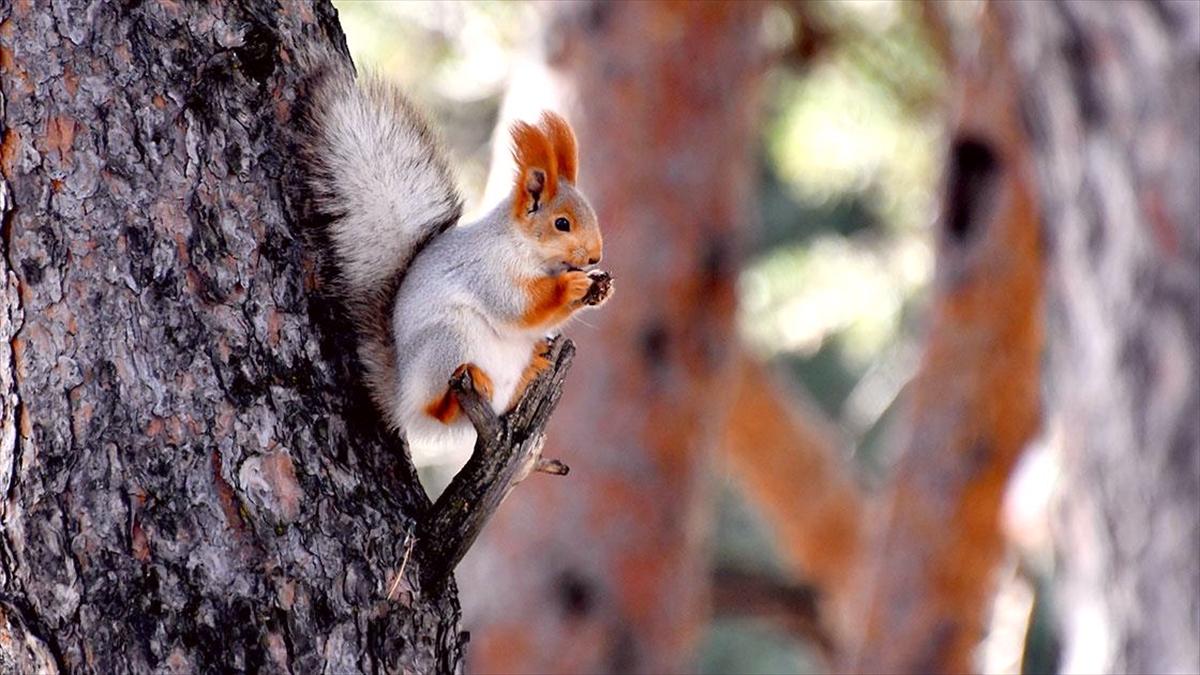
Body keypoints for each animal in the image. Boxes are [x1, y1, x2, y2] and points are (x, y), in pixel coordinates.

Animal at [291, 60, 609, 466]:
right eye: (562, 224)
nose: (595, 256)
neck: (525, 248)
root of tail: (402, 401)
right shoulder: (487, 271)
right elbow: (517, 307)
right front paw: (572, 286)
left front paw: (600, 287)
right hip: (448, 343)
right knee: (438, 411)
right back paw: (452, 398)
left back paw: (530, 369)